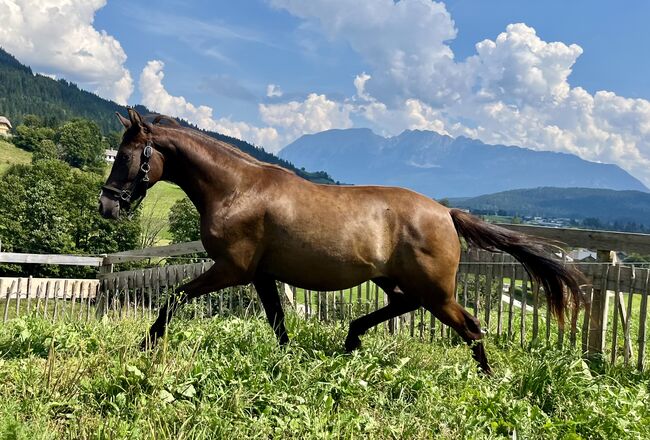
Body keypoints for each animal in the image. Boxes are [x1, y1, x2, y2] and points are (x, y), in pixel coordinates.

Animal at [98, 108, 580, 372]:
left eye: (125, 157)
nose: (107, 205)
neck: (237, 189)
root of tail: (446, 212)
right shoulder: (260, 275)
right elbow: (277, 322)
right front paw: (287, 362)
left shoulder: (231, 270)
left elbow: (172, 299)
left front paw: (145, 346)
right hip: (399, 281)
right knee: (403, 305)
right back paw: (351, 339)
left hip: (437, 292)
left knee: (472, 327)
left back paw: (488, 380)